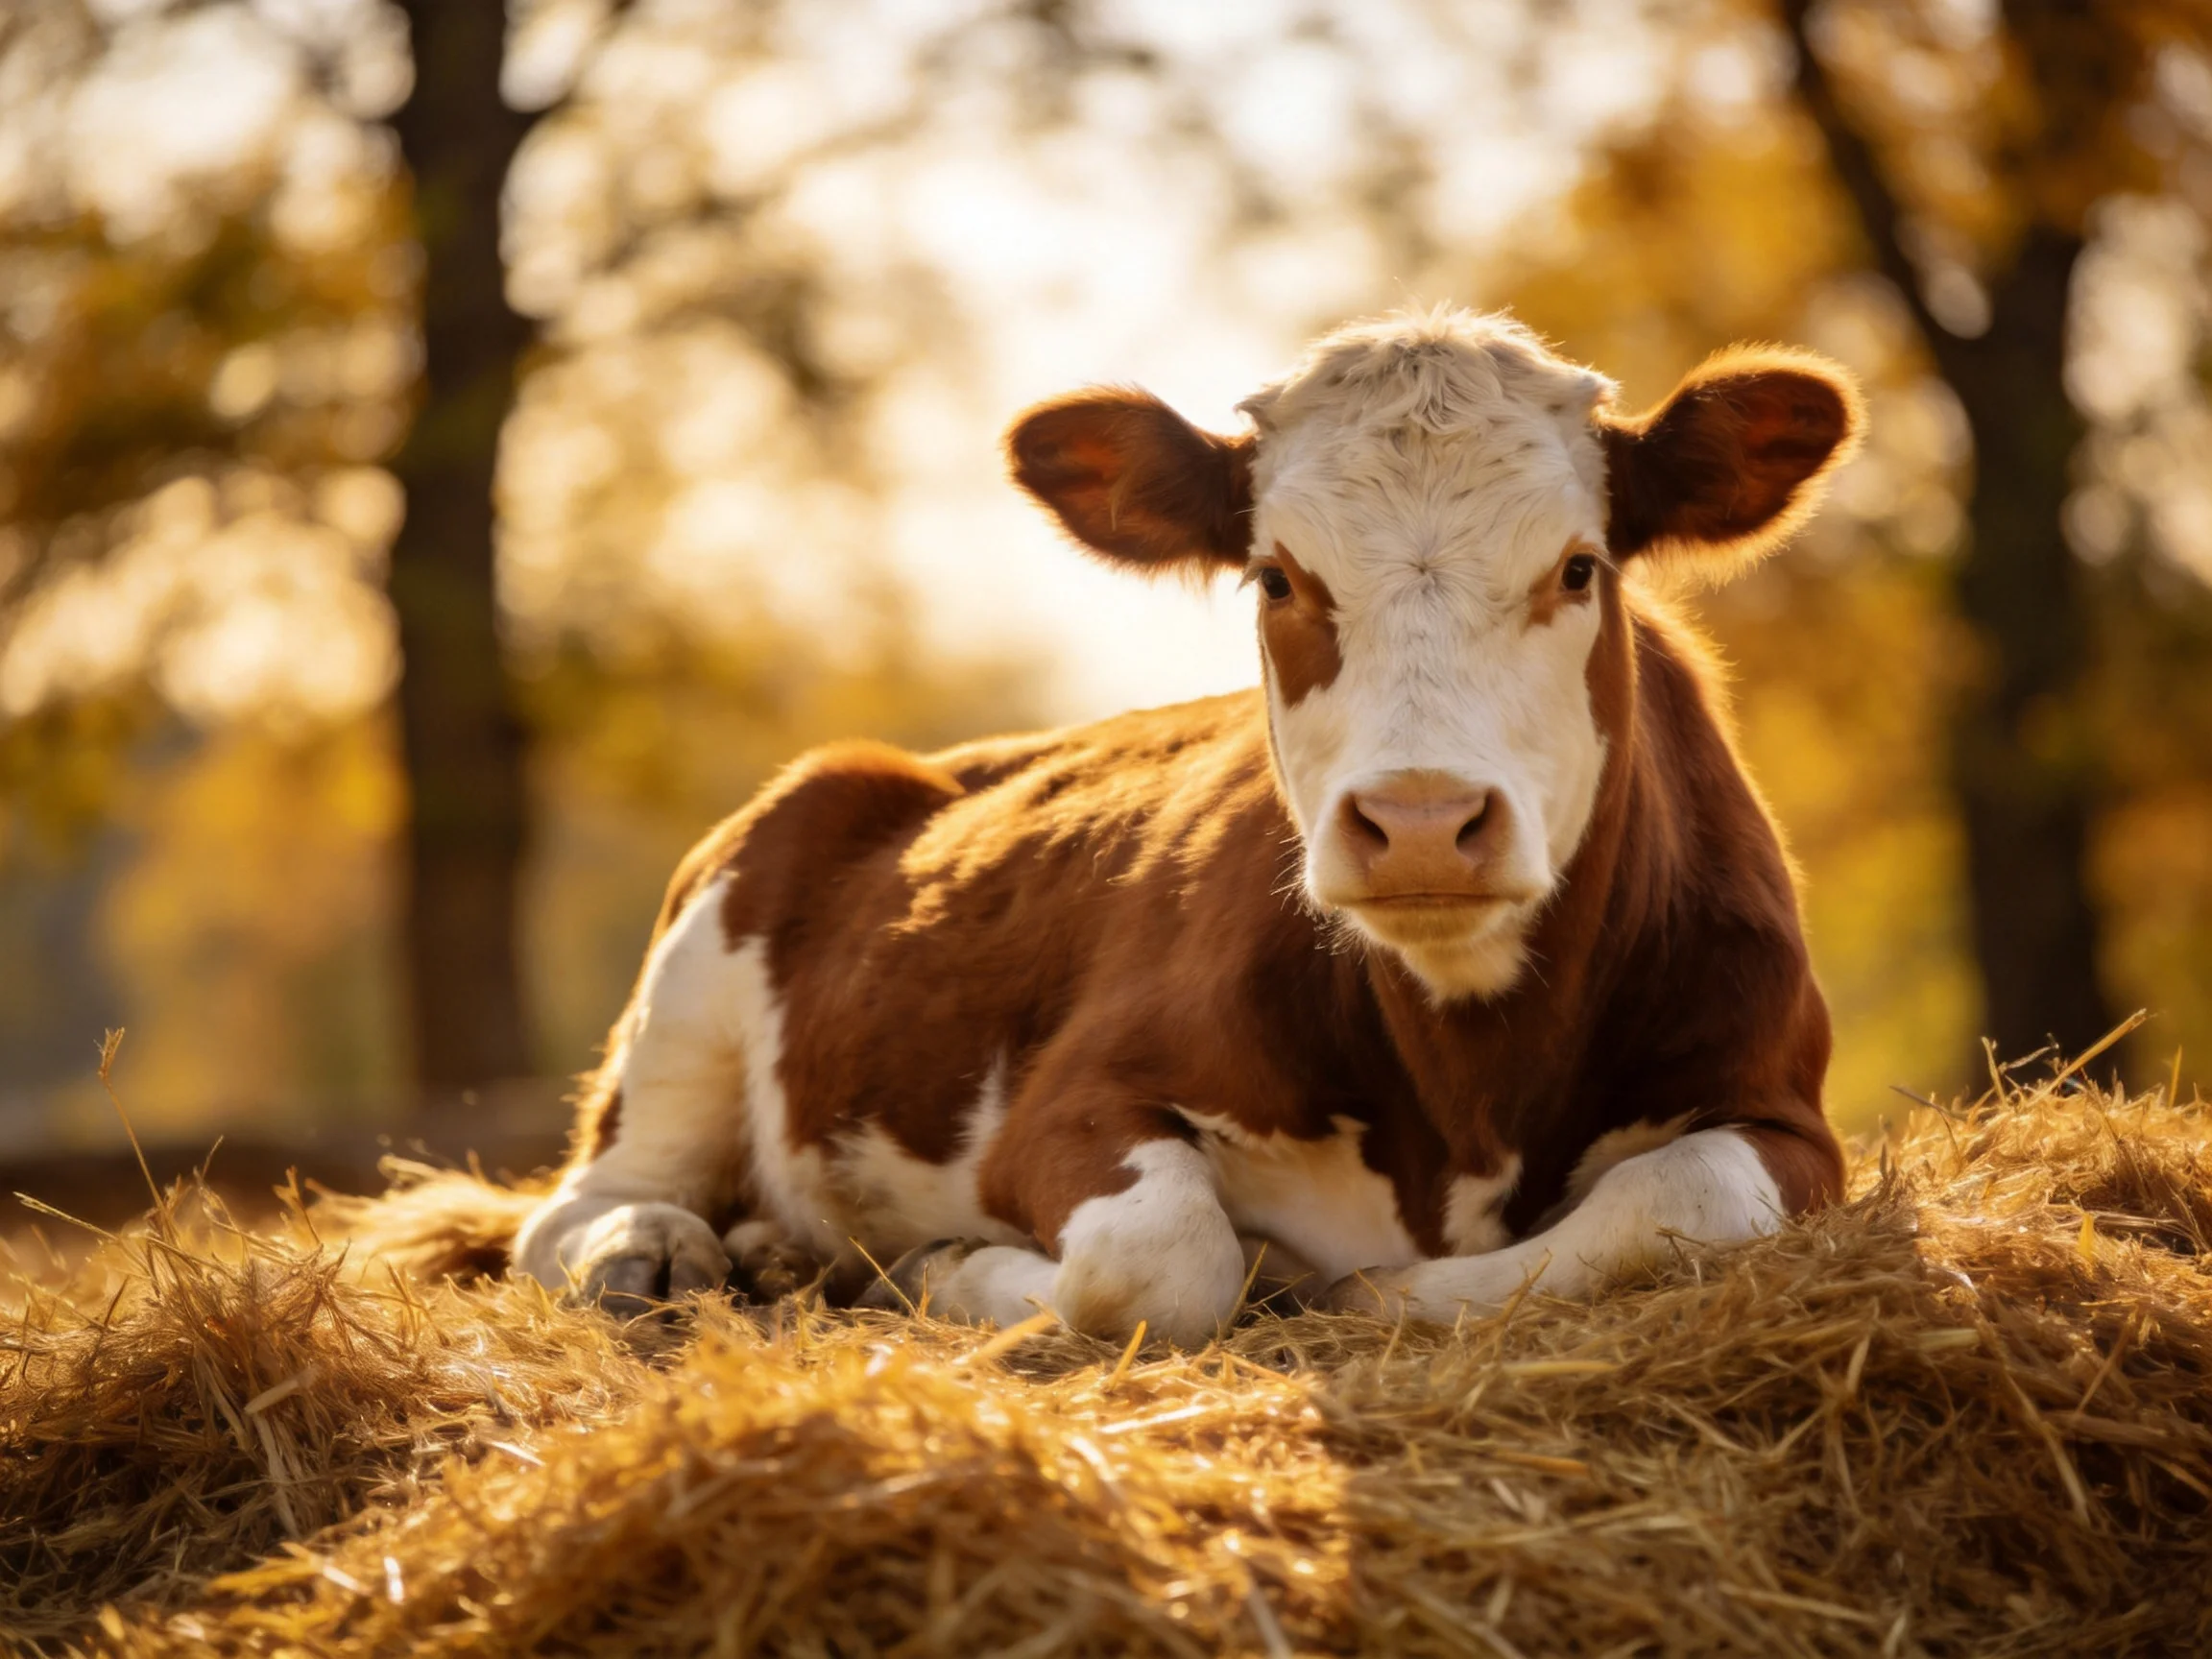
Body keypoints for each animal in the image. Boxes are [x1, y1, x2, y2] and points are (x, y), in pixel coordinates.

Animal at [509, 306, 1860, 1344]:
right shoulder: (1065, 1105)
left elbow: (1674, 1203)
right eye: (1277, 578)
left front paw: (1364, 1290)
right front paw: (947, 1266)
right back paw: (660, 1252)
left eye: (1579, 568)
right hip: (690, 998)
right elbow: (1161, 1258)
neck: (1470, 1083)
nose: (1422, 822)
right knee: (580, 1203)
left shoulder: (1786, 1115)